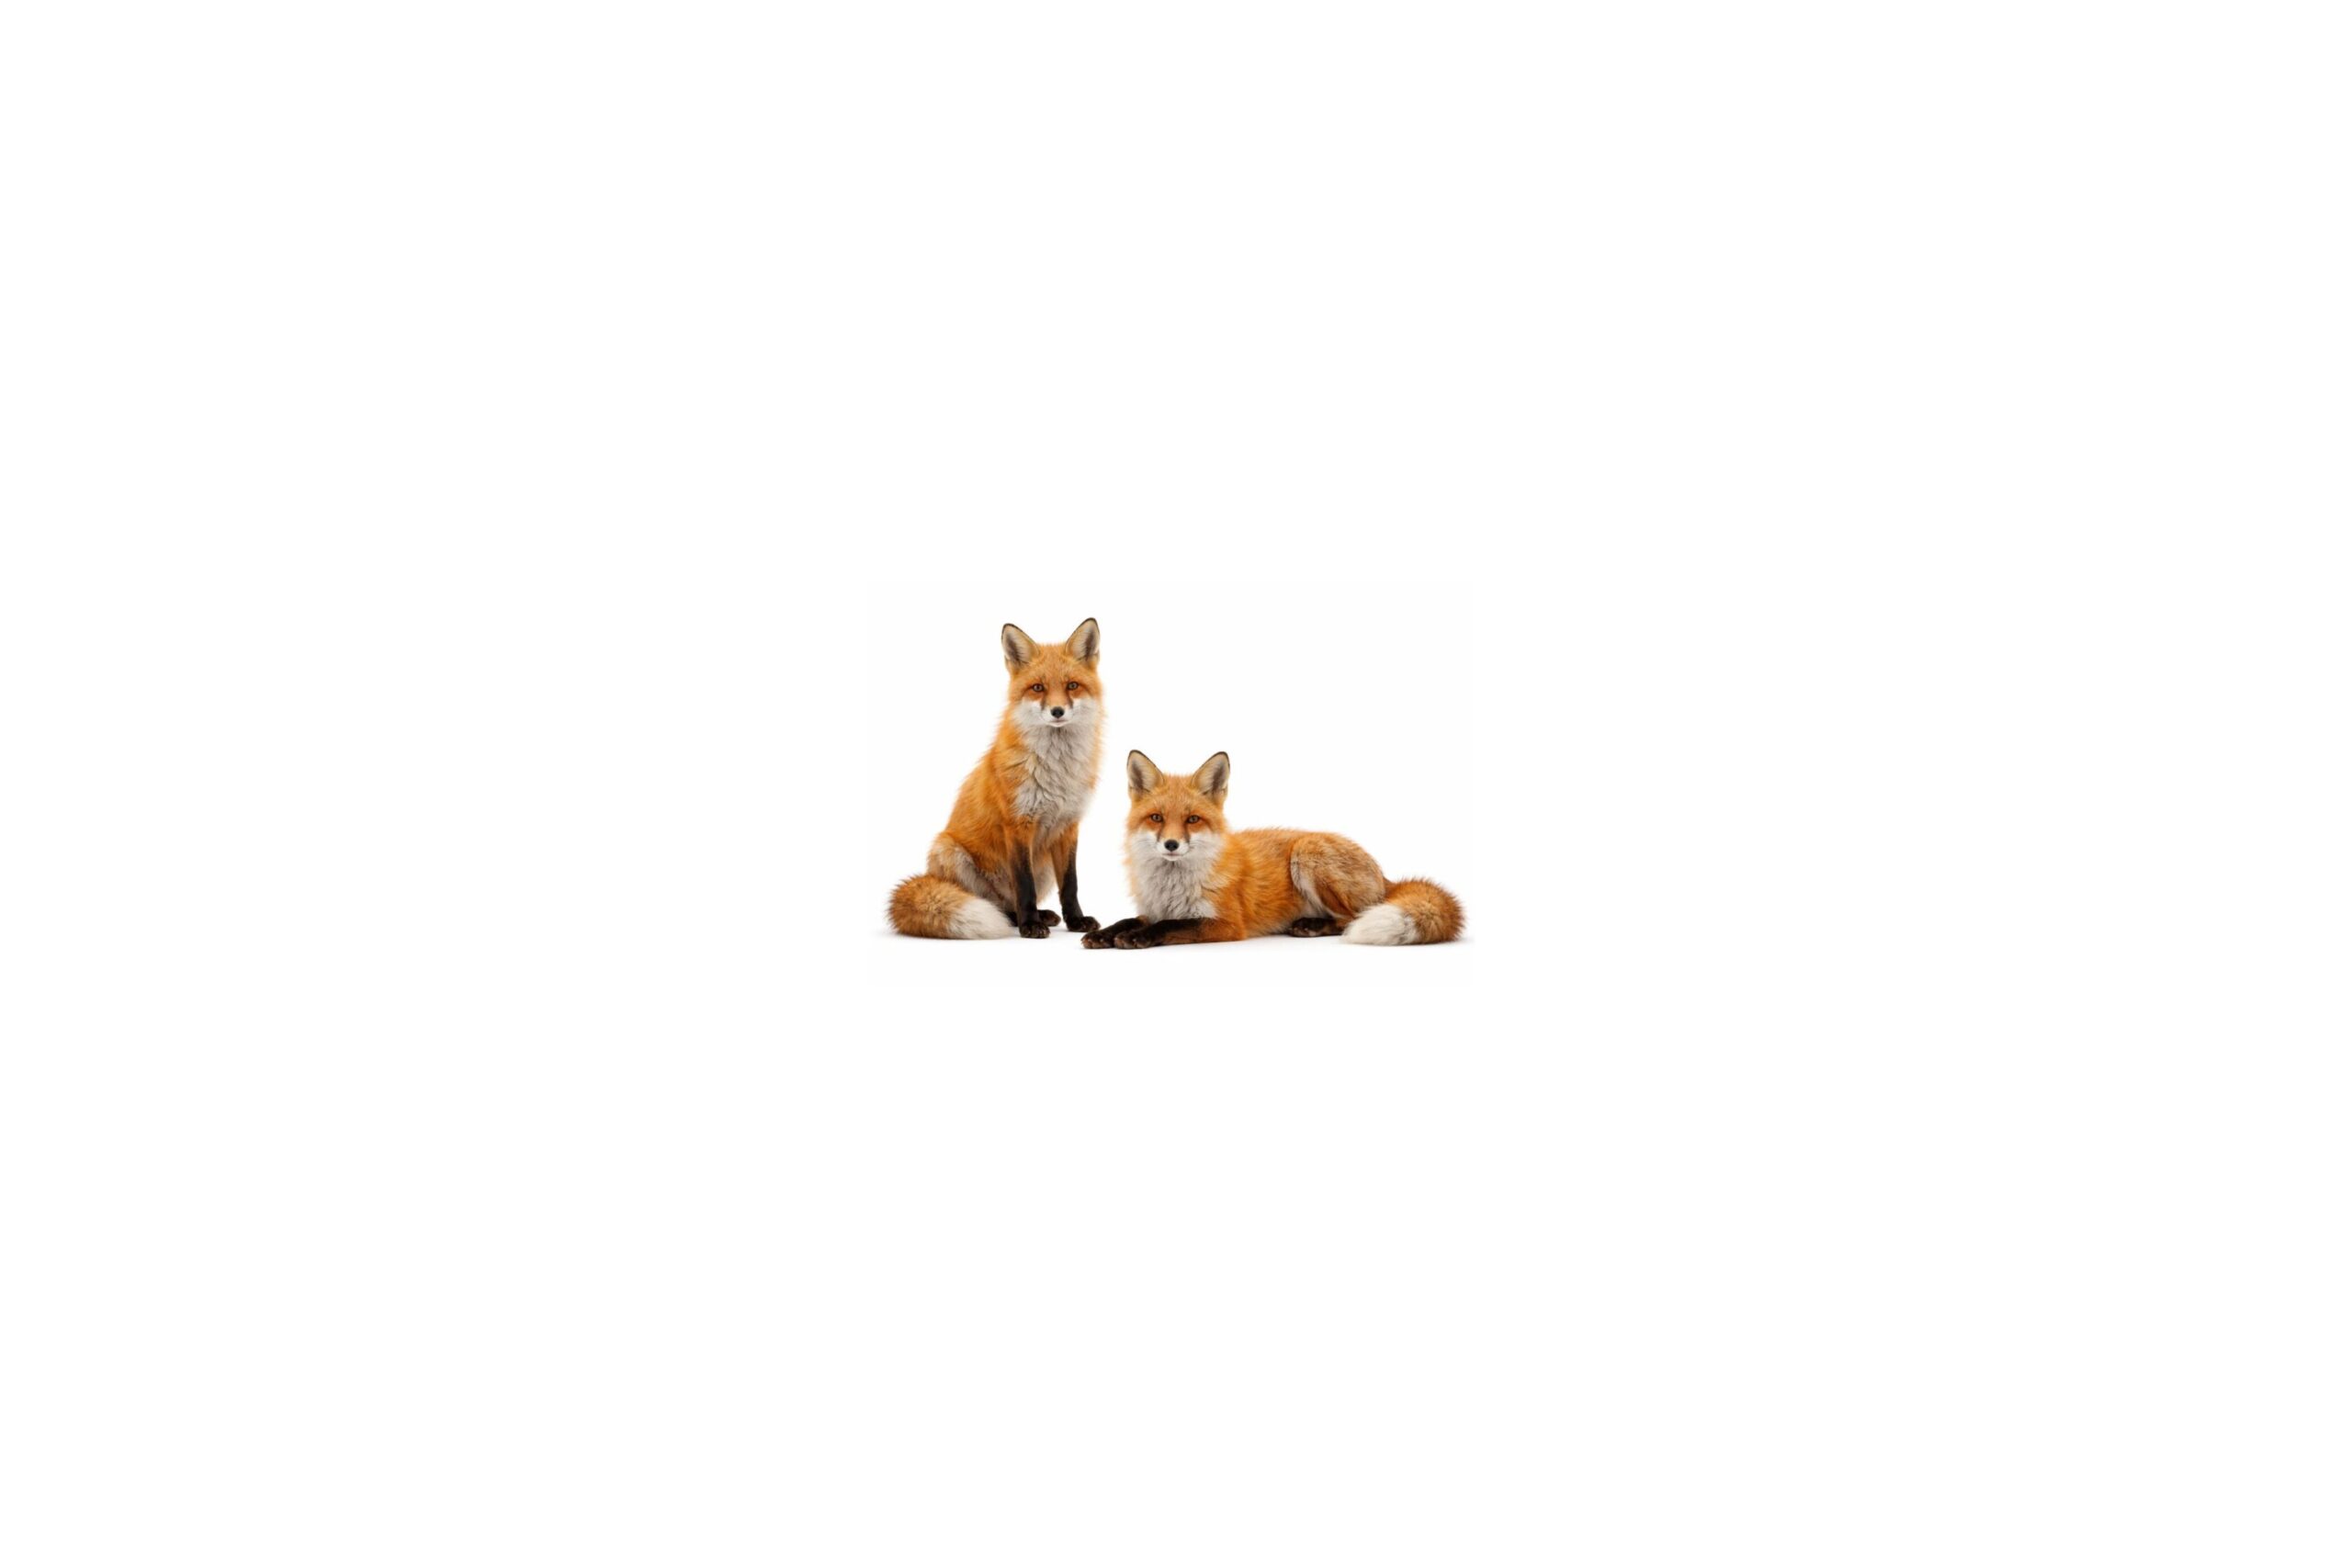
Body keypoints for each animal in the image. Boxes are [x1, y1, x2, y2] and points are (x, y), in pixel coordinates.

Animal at [886, 618, 1105, 939]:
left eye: (1072, 686)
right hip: (949, 850)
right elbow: (1024, 885)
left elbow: (1070, 884)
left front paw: (1076, 920)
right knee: (997, 904)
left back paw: (1043, 914)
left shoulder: (1068, 826)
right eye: (1038, 688)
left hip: (1044, 870)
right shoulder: (1017, 824)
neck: (1057, 771)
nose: (1057, 711)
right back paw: (1018, 918)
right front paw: (1030, 926)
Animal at [1080, 749, 1464, 949]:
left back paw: (1311, 926)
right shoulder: (1154, 908)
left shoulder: (1225, 924)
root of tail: (1387, 878)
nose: (1171, 844)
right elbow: (1128, 919)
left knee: (1353, 917)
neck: (1173, 885)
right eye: (1157, 818)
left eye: (1192, 820)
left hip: (1308, 852)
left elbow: (1168, 926)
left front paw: (1137, 938)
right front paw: (1104, 933)